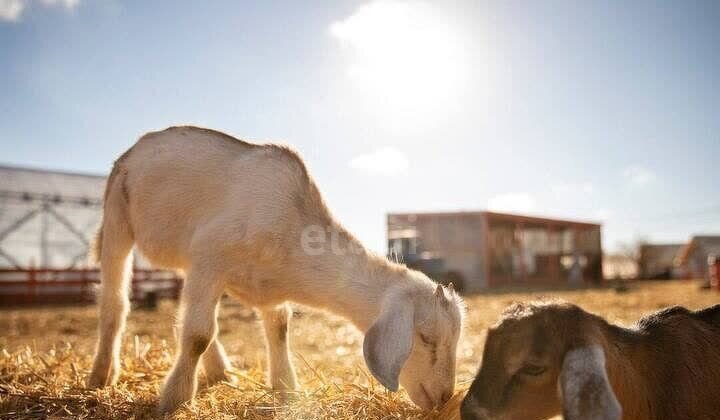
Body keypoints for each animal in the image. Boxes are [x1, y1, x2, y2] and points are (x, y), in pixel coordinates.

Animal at [87, 125, 464, 414]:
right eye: (426, 337)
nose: (444, 397)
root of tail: (136, 147)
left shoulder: (255, 282)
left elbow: (278, 328)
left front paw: (287, 388)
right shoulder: (210, 257)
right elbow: (197, 335)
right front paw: (174, 399)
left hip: (185, 257)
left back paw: (221, 372)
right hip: (118, 214)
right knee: (115, 303)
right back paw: (100, 376)